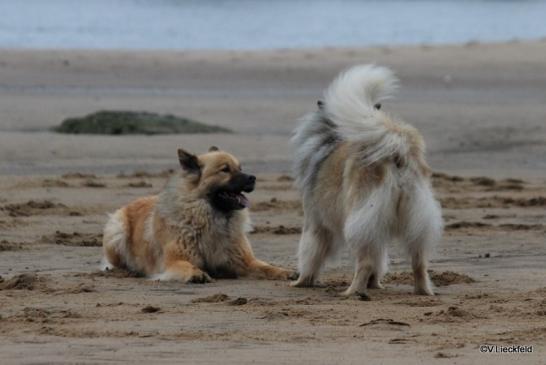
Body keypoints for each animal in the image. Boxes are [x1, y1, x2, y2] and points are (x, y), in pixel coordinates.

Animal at [100, 146, 292, 282]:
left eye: (240, 168)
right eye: (225, 169)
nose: (253, 178)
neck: (211, 217)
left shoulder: (245, 261)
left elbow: (267, 267)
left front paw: (285, 271)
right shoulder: (175, 261)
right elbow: (186, 266)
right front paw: (196, 274)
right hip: (118, 229)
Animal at [292, 63, 440, 296]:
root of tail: (397, 151)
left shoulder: (315, 223)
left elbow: (309, 255)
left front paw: (301, 281)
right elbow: (380, 262)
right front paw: (375, 284)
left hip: (359, 223)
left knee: (365, 262)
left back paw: (352, 292)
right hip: (414, 222)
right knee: (418, 262)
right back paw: (423, 291)